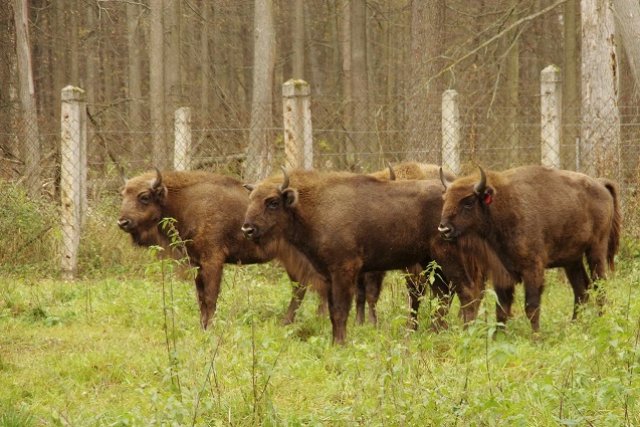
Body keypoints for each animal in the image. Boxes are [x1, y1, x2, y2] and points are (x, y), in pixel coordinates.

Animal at [115, 169, 332, 330]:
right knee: (301, 287)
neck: (186, 202)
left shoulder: (213, 260)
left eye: (144, 197)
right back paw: (288, 323)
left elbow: (211, 296)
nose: (123, 222)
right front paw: (202, 326)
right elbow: (201, 297)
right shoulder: (196, 262)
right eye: (123, 194)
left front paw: (209, 327)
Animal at [242, 169, 478, 346]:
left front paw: (340, 344)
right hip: (429, 261)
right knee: (443, 295)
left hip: (447, 258)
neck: (313, 205)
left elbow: (341, 309)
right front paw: (335, 342)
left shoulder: (345, 269)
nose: (247, 229)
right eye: (251, 199)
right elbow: (332, 311)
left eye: (272, 202)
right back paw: (436, 332)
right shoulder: (328, 274)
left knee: (466, 292)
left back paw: (463, 333)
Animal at [440, 166, 620, 332]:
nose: (444, 229)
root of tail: (600, 185)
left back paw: (601, 322)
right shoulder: (502, 272)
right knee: (581, 290)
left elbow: (531, 307)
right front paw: (499, 337)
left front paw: (536, 338)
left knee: (599, 286)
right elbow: (502, 309)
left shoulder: (533, 269)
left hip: (596, 250)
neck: (499, 208)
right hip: (572, 260)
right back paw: (574, 325)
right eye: (445, 199)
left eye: (468, 202)